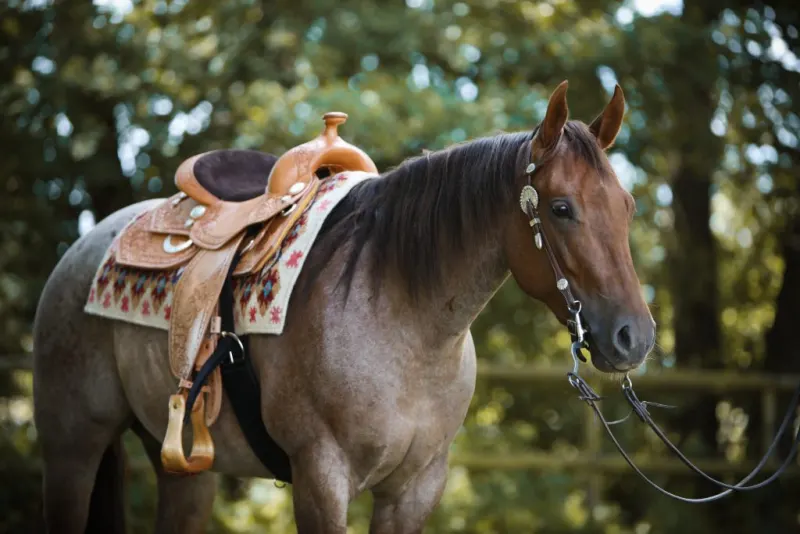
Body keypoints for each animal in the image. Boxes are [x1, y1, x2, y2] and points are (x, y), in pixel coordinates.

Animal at [32, 80, 655, 533]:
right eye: (561, 207)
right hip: (71, 451)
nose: (636, 337)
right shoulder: (321, 479)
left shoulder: (414, 489)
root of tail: (87, 246)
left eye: (627, 206)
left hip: (185, 471)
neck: (405, 325)